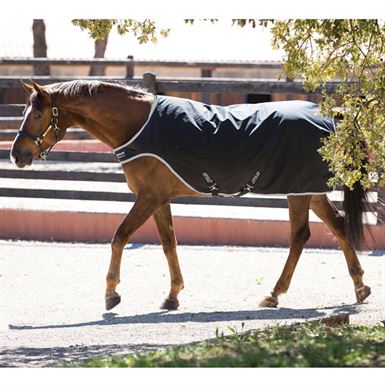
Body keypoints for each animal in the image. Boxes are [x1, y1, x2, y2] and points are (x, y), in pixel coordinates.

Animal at [8, 79, 368, 310]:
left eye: (37, 114)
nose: (16, 155)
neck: (139, 126)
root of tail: (327, 115)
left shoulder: (149, 197)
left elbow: (120, 236)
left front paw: (111, 293)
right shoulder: (159, 199)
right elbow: (169, 243)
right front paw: (173, 295)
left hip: (298, 190)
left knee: (299, 235)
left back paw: (275, 293)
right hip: (309, 189)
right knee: (337, 226)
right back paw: (360, 286)